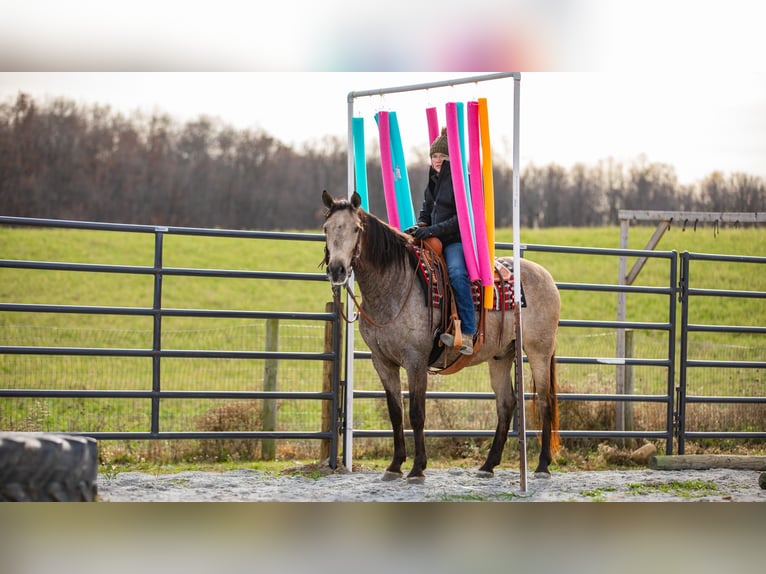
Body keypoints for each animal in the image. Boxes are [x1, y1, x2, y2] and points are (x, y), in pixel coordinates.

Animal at [320, 191, 560, 484]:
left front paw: (417, 468)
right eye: (326, 228)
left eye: (356, 229)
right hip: (500, 356)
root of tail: (545, 276)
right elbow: (396, 412)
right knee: (506, 404)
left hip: (539, 351)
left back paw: (542, 466)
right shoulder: (382, 361)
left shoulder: (415, 360)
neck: (395, 285)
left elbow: (416, 413)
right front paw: (395, 465)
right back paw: (488, 465)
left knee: (545, 402)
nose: (337, 270)